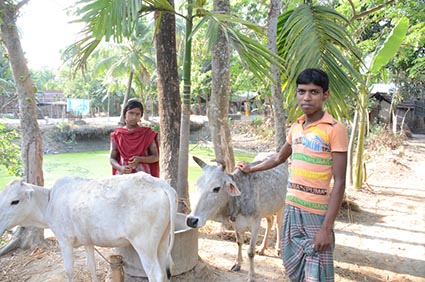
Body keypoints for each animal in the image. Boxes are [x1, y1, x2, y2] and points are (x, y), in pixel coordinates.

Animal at [0, 172, 176, 282]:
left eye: (15, 201)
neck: (49, 202)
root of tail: (160, 183)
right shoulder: (87, 241)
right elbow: (91, 266)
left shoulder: (64, 241)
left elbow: (69, 270)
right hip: (161, 241)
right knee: (164, 273)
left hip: (144, 244)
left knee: (156, 274)